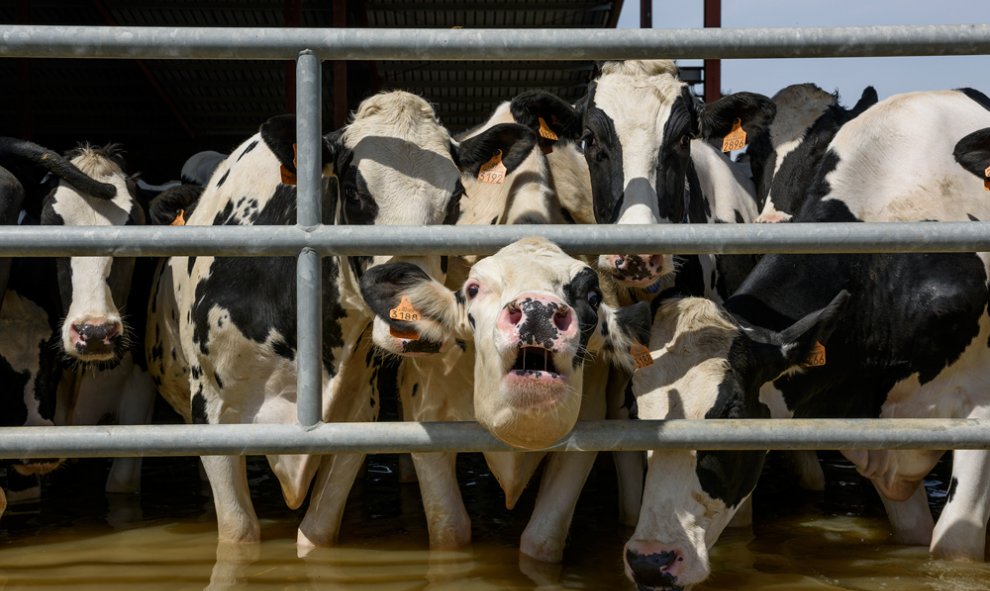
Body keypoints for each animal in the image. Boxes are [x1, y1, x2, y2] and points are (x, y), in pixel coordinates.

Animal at [149, 90, 544, 548]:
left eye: (456, 197)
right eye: (354, 191)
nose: (416, 324)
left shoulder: (356, 414)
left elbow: (318, 533)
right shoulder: (211, 411)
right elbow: (239, 531)